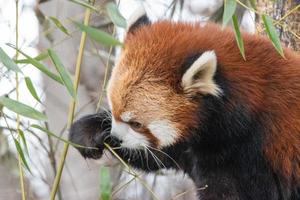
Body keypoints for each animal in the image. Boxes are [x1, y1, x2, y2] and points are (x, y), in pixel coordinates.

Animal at [69, 10, 300, 200]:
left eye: (136, 124)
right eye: (114, 110)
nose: (115, 137)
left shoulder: (250, 151)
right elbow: (160, 155)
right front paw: (89, 131)